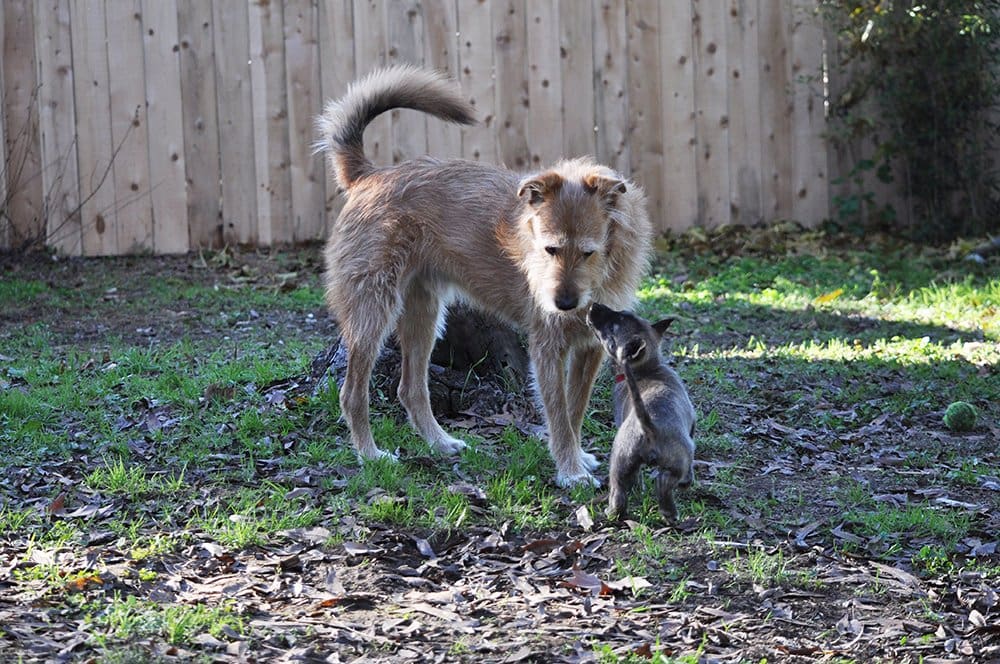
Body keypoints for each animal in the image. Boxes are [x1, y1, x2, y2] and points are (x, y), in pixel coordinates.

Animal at [316, 65, 652, 486]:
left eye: (588, 252)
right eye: (550, 249)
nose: (562, 303)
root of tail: (369, 176)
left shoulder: (589, 348)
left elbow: (574, 411)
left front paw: (575, 458)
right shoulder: (547, 347)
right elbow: (559, 415)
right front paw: (570, 471)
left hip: (425, 315)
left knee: (410, 389)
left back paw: (439, 443)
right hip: (373, 313)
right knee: (352, 394)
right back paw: (371, 454)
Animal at [584, 304, 696, 520]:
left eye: (612, 328)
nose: (594, 305)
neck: (647, 368)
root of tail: (649, 426)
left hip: (619, 462)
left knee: (618, 494)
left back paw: (612, 512)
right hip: (679, 461)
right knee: (665, 482)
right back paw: (669, 511)